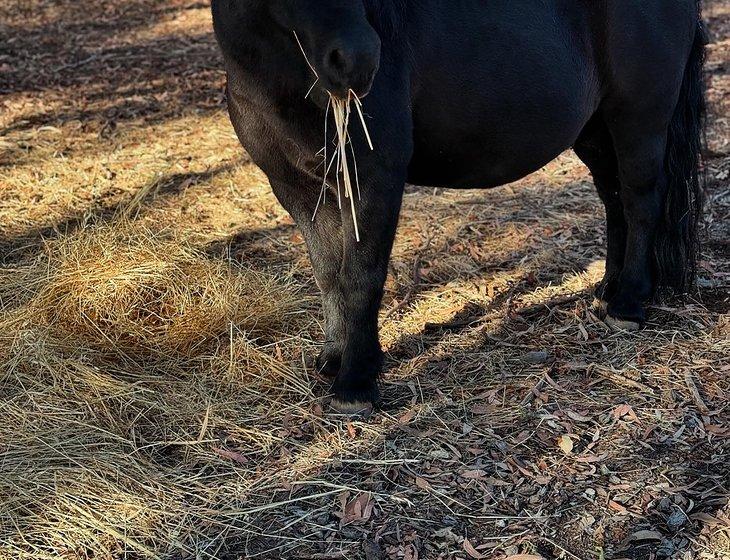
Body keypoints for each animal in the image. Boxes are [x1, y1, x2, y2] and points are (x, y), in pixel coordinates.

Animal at [212, 1, 704, 416]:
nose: (359, 60)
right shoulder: (295, 187)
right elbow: (328, 271)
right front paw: (334, 357)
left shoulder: (376, 179)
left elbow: (360, 276)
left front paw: (356, 381)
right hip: (595, 130)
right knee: (614, 200)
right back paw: (607, 288)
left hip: (638, 119)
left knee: (640, 201)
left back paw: (629, 302)